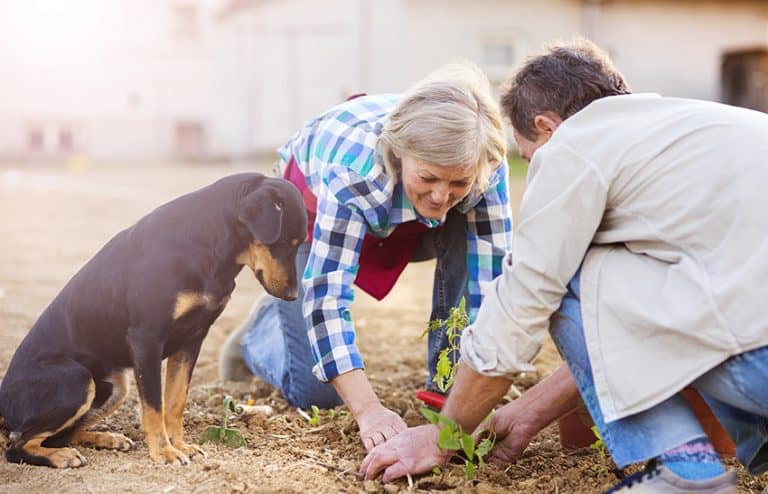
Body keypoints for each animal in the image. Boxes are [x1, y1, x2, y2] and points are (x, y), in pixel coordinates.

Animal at [0, 173, 306, 466]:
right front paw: (165, 452)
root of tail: (3, 399)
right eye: (282, 242)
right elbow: (154, 407)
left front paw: (180, 446)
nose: (293, 296)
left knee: (61, 435)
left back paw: (106, 439)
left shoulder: (192, 339)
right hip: (78, 380)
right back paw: (61, 457)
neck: (207, 244)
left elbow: (175, 401)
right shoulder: (146, 340)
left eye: (299, 244)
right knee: (17, 446)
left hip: (116, 386)